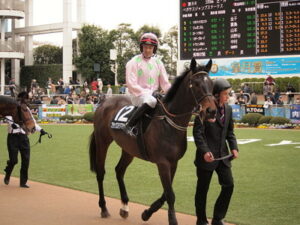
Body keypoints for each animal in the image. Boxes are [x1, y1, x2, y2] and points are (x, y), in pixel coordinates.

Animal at [88, 58, 217, 225]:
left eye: (211, 84)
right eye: (195, 84)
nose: (211, 111)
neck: (168, 121)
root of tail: (103, 102)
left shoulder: (173, 163)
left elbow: (166, 193)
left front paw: (147, 213)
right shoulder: (162, 163)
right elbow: (170, 194)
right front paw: (172, 220)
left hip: (128, 149)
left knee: (119, 170)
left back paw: (124, 207)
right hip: (102, 141)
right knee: (100, 172)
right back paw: (103, 208)